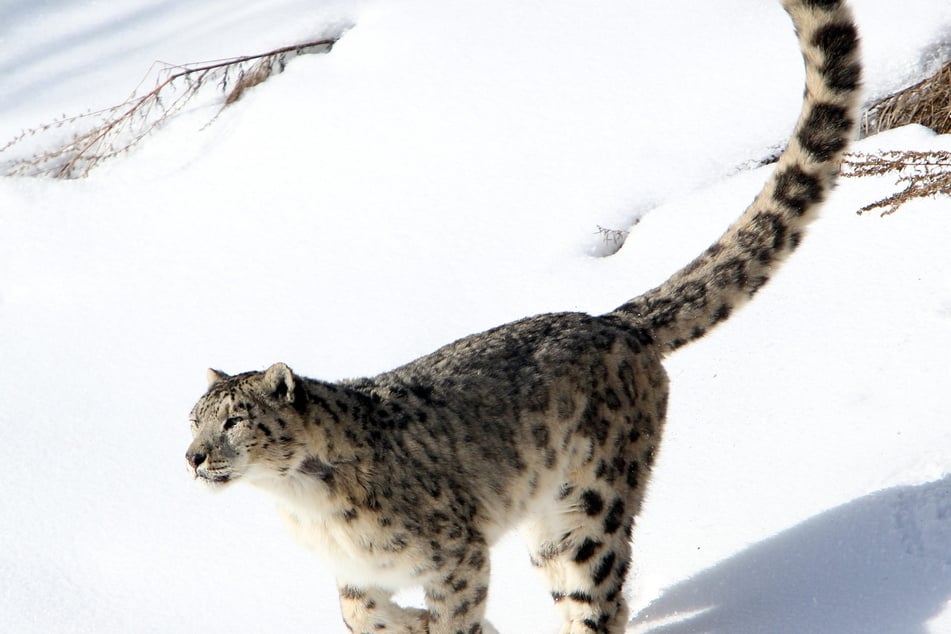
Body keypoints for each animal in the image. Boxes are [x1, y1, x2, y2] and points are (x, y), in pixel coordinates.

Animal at [186, 2, 864, 628]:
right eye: (192, 421)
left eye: (234, 421)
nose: (192, 457)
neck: (304, 504)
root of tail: (613, 322)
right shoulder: (357, 572)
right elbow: (357, 610)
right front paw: (409, 621)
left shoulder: (453, 552)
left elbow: (453, 614)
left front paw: (442, 624)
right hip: (549, 520)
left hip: (589, 501)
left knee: (596, 593)